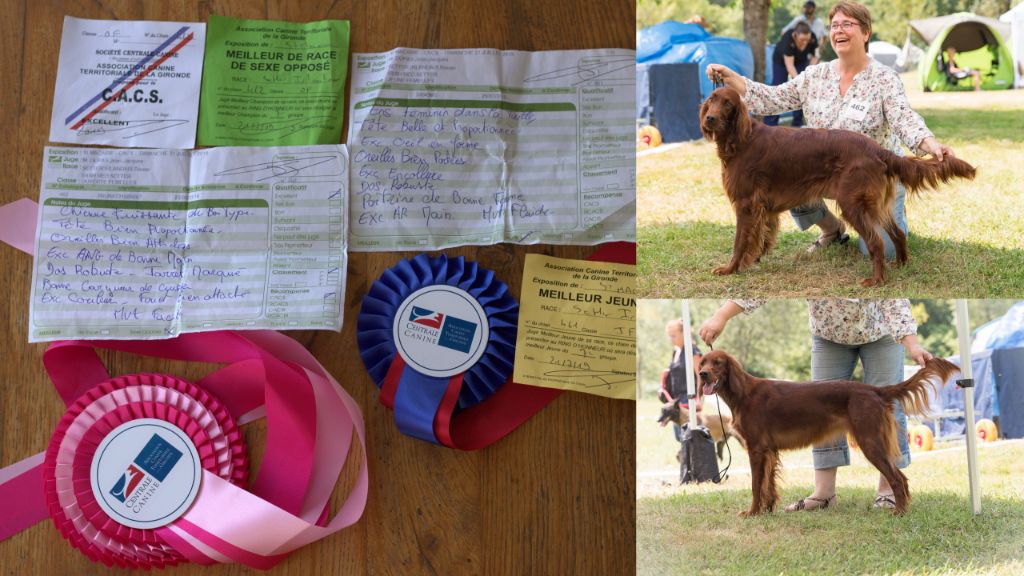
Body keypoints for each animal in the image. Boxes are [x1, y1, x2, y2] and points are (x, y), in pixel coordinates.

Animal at [696, 87, 974, 284]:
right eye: (711, 100)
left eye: (728, 103)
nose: (709, 118)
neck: (741, 139)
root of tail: (877, 149)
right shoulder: (764, 207)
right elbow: (762, 237)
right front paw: (752, 261)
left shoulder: (745, 204)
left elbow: (740, 241)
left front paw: (730, 269)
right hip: (876, 206)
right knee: (897, 234)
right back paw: (901, 265)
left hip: (852, 203)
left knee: (877, 243)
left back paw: (876, 280)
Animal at [696, 350, 958, 516]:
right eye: (703, 363)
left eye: (717, 362)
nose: (702, 374)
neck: (743, 394)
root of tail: (874, 390)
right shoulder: (768, 451)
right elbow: (767, 486)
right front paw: (767, 511)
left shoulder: (757, 450)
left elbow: (755, 486)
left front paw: (752, 513)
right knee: (900, 477)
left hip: (870, 442)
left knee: (896, 477)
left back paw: (899, 512)